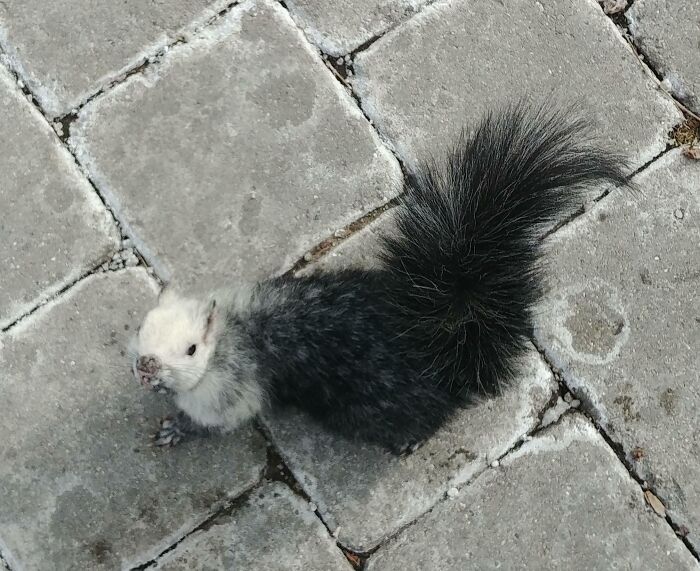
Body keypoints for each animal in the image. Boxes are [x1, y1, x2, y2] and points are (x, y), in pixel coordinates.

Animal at [131, 104, 628, 453]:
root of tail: (444, 351)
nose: (146, 367)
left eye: (191, 349)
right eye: (143, 330)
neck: (233, 331)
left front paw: (177, 430)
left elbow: (220, 420)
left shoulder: (231, 388)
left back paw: (410, 439)